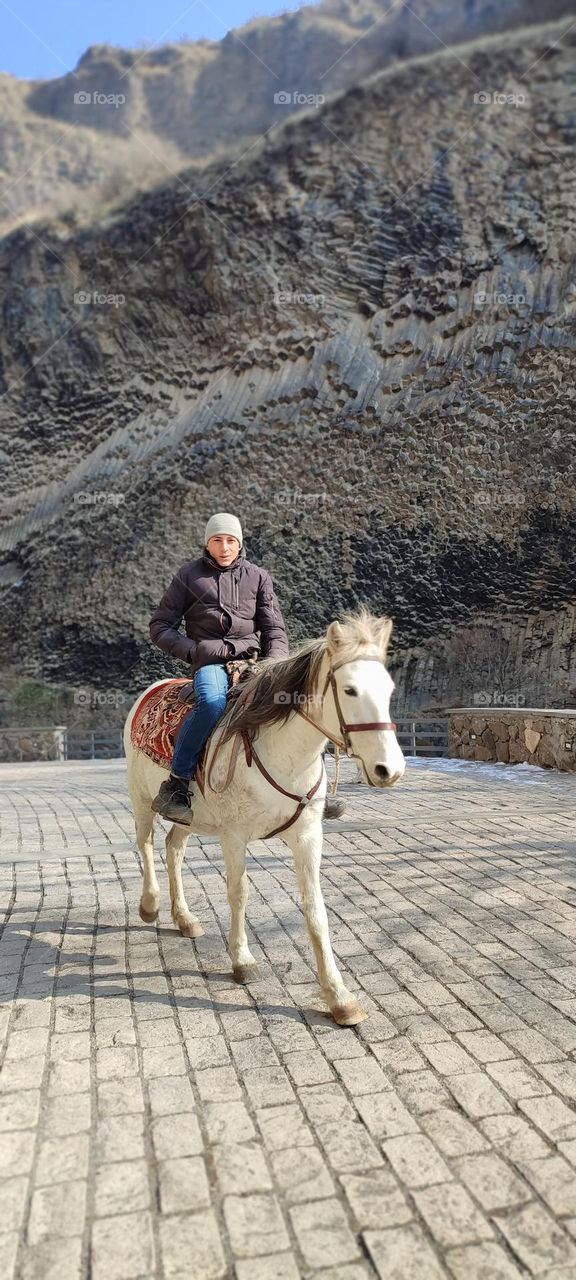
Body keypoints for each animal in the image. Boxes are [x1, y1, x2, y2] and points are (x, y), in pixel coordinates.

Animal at [123, 607, 406, 1026]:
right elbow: (238, 893)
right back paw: (150, 905)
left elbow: (315, 909)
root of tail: (150, 690)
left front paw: (339, 997)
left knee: (174, 848)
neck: (281, 750)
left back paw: (184, 918)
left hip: (190, 817)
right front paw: (242, 960)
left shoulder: (307, 837)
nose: (390, 769)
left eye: (388, 690)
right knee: (145, 844)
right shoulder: (234, 836)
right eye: (350, 690)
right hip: (142, 798)